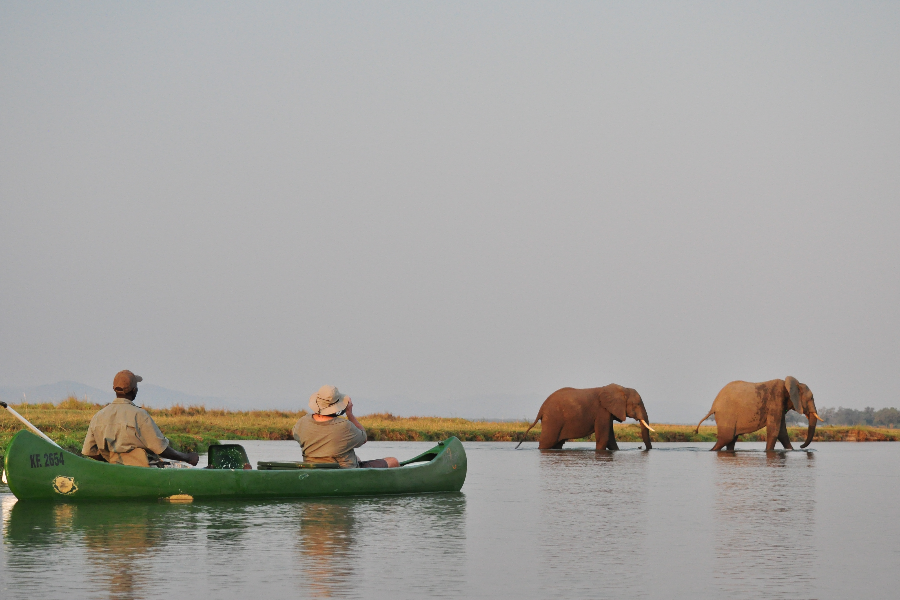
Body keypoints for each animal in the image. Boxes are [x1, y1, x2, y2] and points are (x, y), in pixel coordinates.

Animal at [516, 384, 656, 450]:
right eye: (637, 404)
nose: (645, 449)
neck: (621, 389)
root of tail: (541, 409)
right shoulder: (602, 411)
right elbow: (603, 437)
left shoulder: (607, 412)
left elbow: (610, 438)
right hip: (552, 420)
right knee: (546, 442)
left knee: (557, 444)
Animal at [696, 376, 824, 450]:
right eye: (811, 398)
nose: (801, 446)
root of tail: (713, 406)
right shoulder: (775, 401)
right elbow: (774, 430)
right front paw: (768, 452)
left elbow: (782, 432)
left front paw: (791, 450)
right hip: (726, 415)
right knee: (726, 438)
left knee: (731, 440)